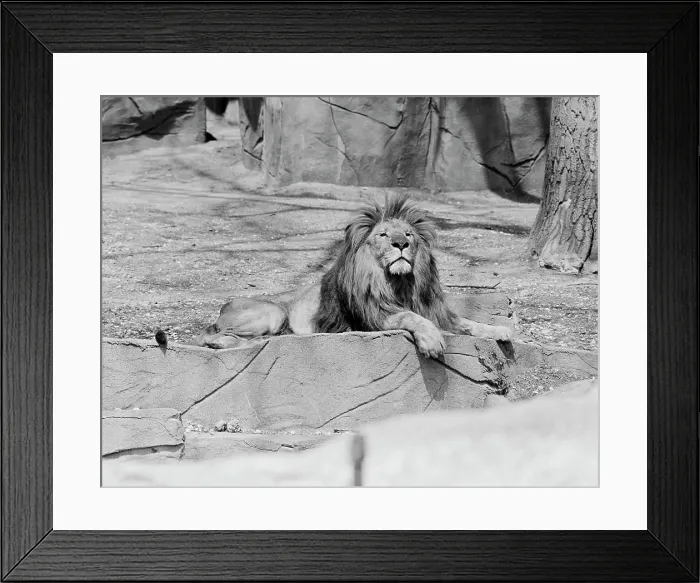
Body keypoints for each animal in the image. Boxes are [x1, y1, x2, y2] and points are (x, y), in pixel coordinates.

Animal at [164, 195, 513, 358]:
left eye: (409, 235)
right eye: (384, 235)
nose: (400, 244)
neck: (400, 282)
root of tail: (222, 309)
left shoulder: (437, 311)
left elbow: (468, 323)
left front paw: (501, 330)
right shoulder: (375, 318)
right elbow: (411, 319)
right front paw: (432, 341)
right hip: (273, 311)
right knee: (211, 337)